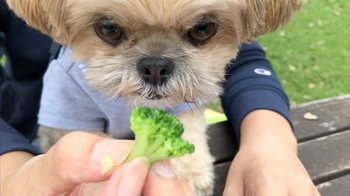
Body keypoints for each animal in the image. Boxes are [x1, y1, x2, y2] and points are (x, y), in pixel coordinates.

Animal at [6, 0, 302, 194]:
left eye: (202, 28)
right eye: (108, 28)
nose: (156, 67)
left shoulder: (185, 102)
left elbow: (190, 131)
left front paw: (193, 173)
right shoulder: (66, 117)